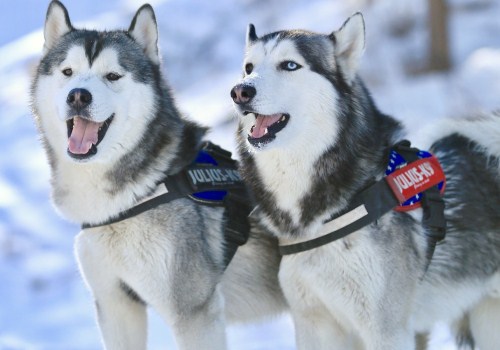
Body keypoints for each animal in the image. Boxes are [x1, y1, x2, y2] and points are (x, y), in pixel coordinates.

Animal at [31, 1, 288, 348]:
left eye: (113, 75)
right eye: (67, 72)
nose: (78, 96)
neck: (132, 197)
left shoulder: (194, 313)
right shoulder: (115, 305)